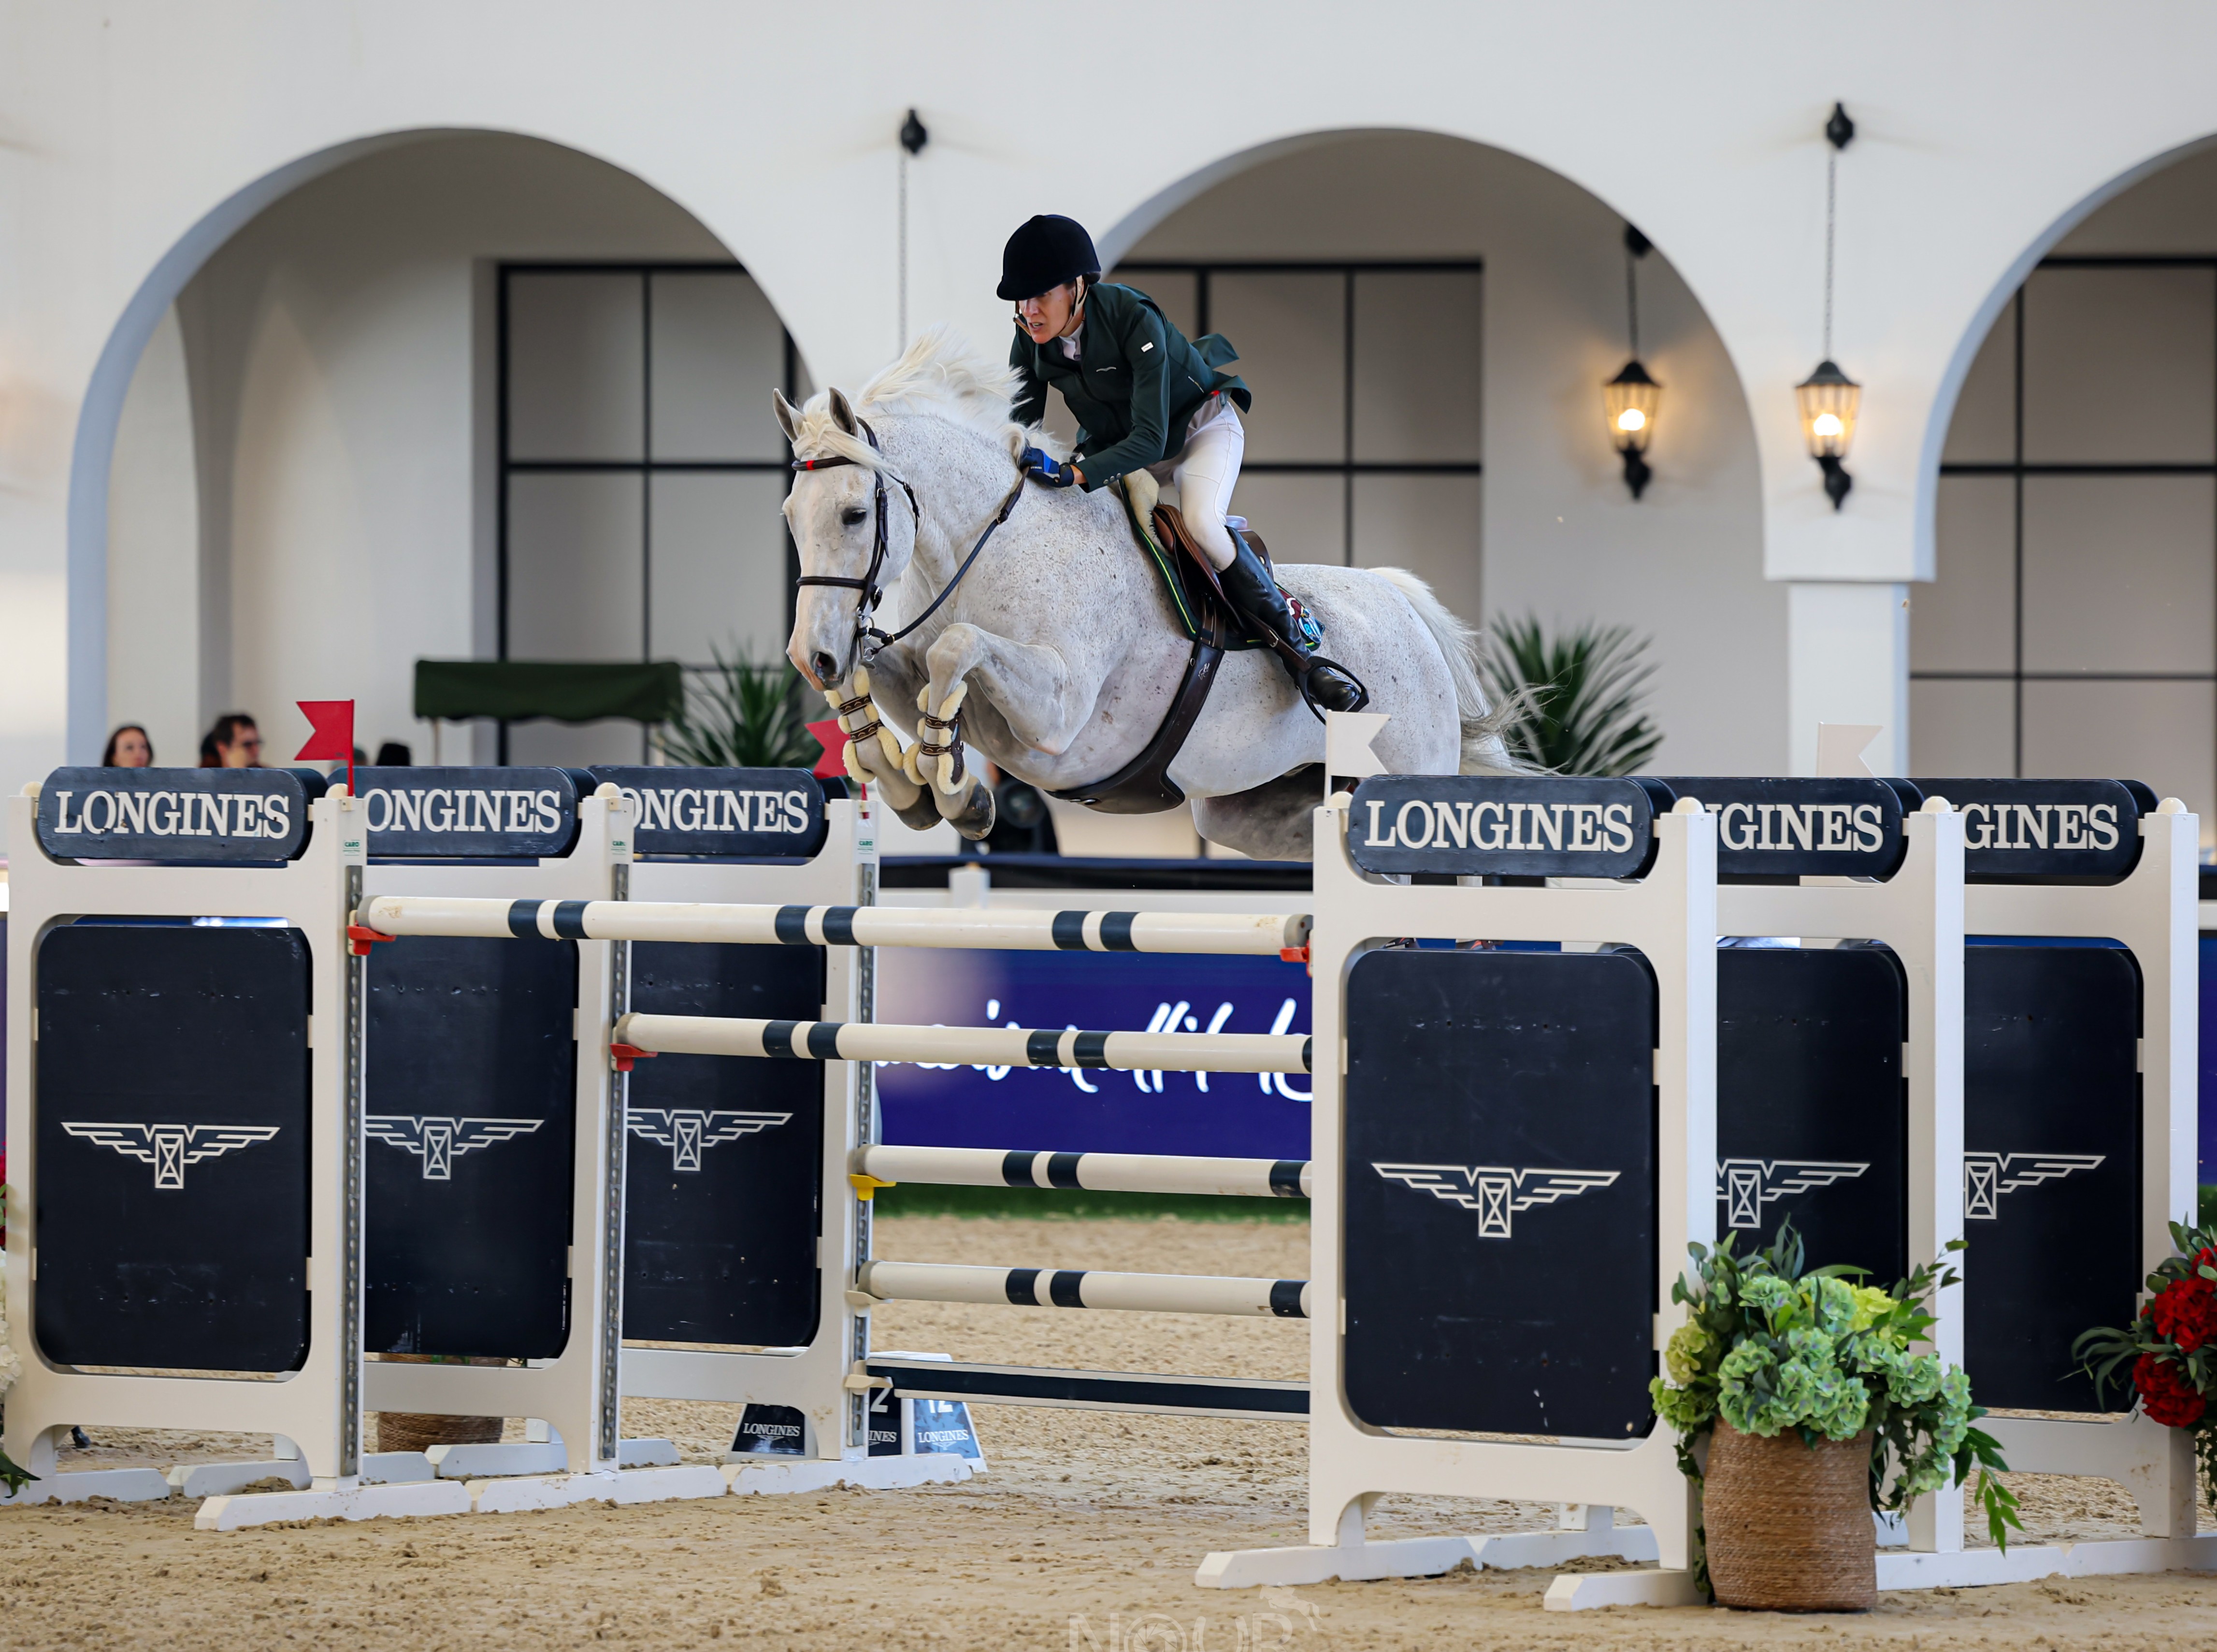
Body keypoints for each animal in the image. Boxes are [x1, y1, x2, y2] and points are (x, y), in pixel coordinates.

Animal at [778, 328, 1512, 862]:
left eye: (852, 514)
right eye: (789, 515)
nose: (812, 657)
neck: (989, 546)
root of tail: (1403, 602)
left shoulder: (1058, 720)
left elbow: (954, 650)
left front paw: (950, 787)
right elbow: (893, 674)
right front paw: (916, 783)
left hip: (1409, 776)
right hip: (1250, 808)